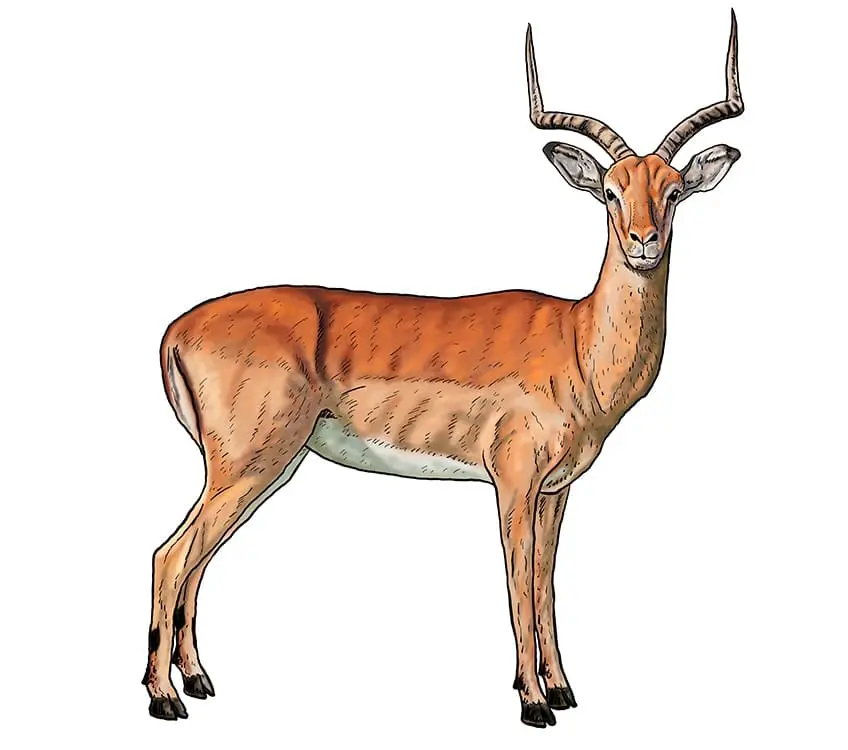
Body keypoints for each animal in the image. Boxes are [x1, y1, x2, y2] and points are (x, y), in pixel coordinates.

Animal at [144, 12, 744, 727]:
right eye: (608, 191)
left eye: (673, 190)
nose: (644, 243)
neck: (578, 342)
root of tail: (175, 329)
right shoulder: (513, 483)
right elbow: (518, 586)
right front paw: (534, 703)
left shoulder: (556, 490)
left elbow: (547, 584)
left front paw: (563, 690)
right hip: (248, 463)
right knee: (170, 555)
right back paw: (164, 700)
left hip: (261, 469)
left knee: (194, 559)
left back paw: (198, 682)